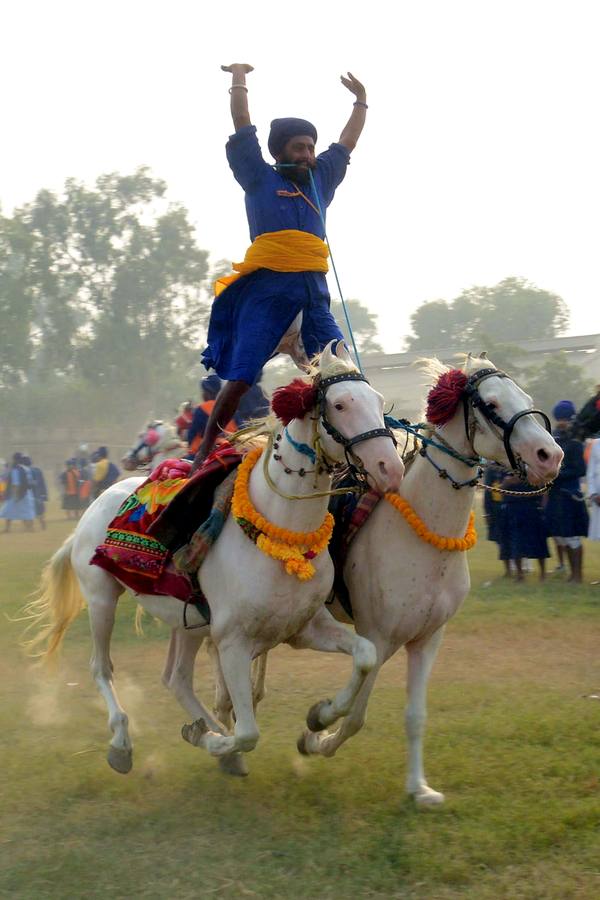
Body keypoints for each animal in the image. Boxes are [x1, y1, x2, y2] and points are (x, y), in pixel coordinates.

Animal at [27, 342, 404, 776]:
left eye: (378, 401)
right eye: (340, 404)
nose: (390, 467)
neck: (281, 530)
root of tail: (92, 509)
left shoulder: (305, 628)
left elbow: (366, 656)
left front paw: (320, 716)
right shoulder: (232, 642)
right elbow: (248, 732)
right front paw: (215, 741)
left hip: (188, 622)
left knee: (175, 679)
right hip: (102, 598)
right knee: (101, 667)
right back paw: (124, 743)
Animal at [244, 356, 564, 800]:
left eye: (526, 397)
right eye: (492, 404)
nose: (550, 455)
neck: (425, 539)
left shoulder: (428, 639)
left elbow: (415, 715)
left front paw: (418, 788)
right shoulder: (378, 636)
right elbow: (355, 715)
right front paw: (315, 732)